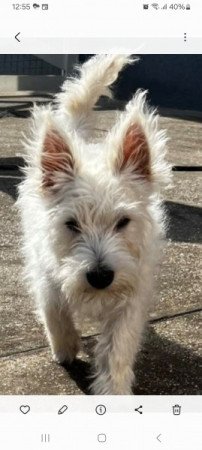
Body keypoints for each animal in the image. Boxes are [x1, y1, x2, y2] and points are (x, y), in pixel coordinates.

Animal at [17, 55, 170, 394]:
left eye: (123, 222)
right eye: (71, 224)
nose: (100, 277)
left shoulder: (132, 292)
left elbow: (118, 347)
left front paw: (113, 390)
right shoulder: (46, 276)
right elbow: (55, 313)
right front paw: (64, 348)